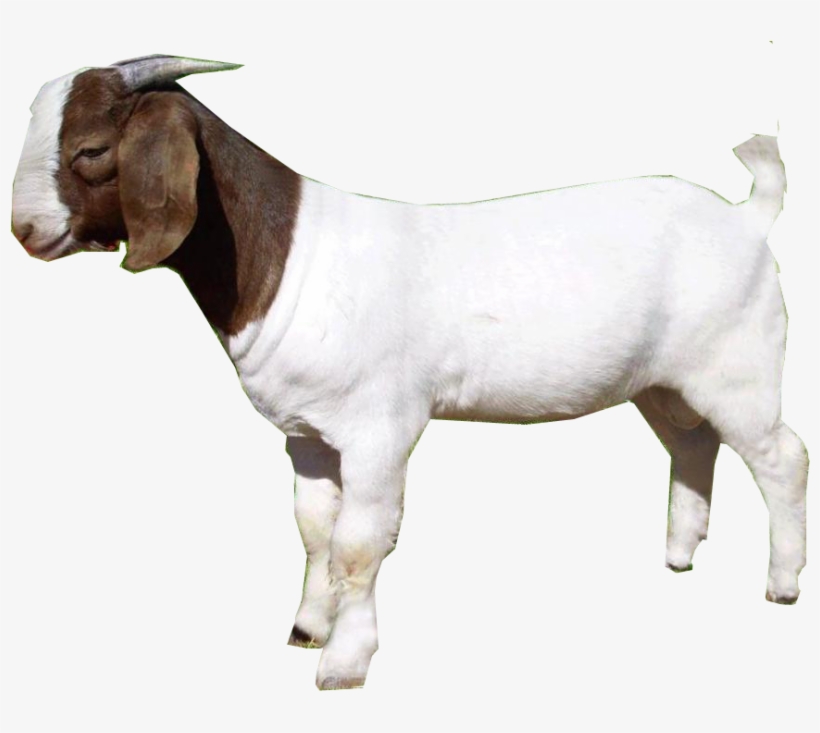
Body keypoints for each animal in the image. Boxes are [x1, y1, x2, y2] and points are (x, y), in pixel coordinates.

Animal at [10, 55, 808, 690]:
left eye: (90, 148)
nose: (23, 230)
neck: (288, 254)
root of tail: (749, 217)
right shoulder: (307, 435)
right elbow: (314, 531)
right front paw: (307, 628)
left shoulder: (379, 429)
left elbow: (360, 545)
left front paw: (344, 663)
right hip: (664, 382)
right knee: (693, 443)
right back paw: (679, 555)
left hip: (737, 366)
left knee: (781, 457)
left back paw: (782, 583)